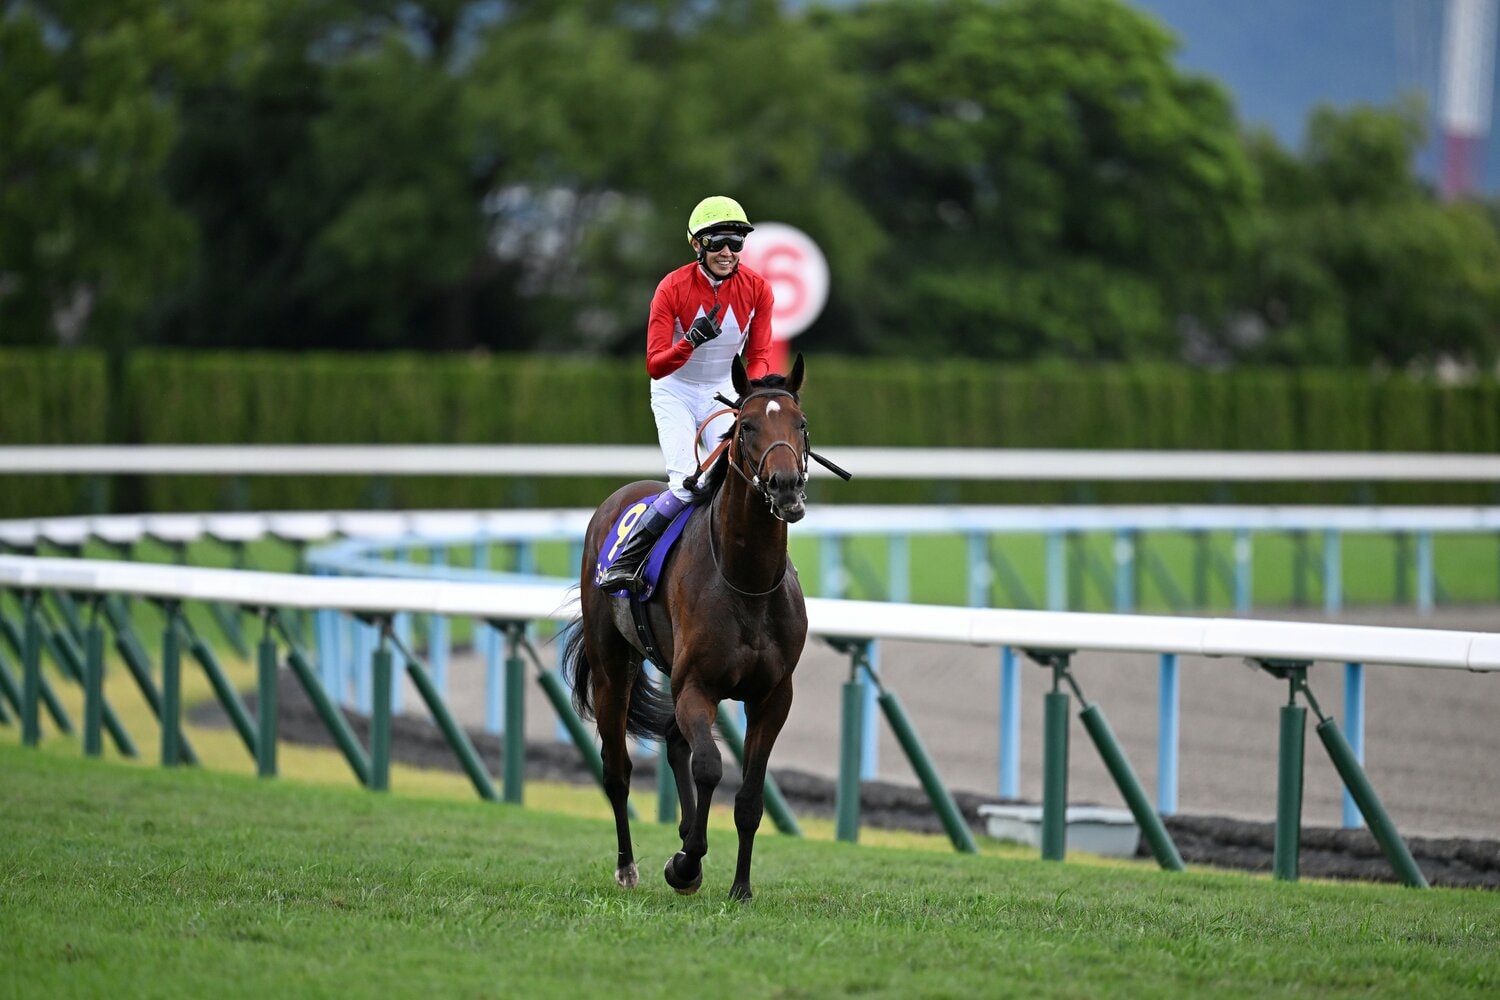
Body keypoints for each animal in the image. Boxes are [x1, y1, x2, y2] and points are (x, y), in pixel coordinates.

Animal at [561, 353, 811, 901]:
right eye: (747, 426)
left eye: (801, 424)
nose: (785, 486)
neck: (746, 580)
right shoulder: (697, 684)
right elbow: (710, 766)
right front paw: (685, 863)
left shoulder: (774, 696)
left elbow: (750, 798)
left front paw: (740, 887)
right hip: (614, 666)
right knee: (618, 769)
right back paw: (628, 867)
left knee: (675, 739)